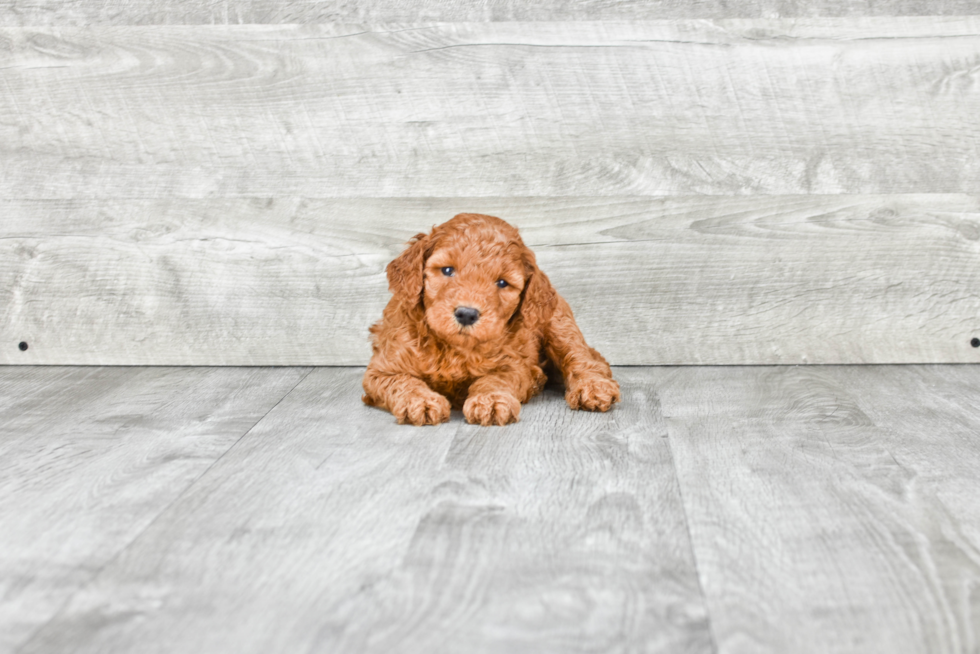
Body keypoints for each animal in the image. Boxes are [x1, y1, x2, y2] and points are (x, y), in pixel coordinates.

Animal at [360, 213, 620, 428]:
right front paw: (421, 402)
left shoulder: (512, 364)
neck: (453, 349)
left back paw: (593, 387)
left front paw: (490, 401)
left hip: (559, 324)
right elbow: (402, 382)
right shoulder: (382, 369)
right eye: (447, 270)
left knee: (584, 357)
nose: (467, 313)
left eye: (502, 283)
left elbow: (496, 379)